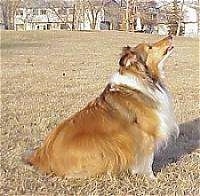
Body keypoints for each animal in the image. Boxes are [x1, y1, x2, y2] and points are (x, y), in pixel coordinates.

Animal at [24, 35, 179, 179]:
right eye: (150, 47)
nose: (170, 36)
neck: (142, 78)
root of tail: (42, 155)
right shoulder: (145, 134)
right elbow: (147, 160)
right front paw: (151, 178)